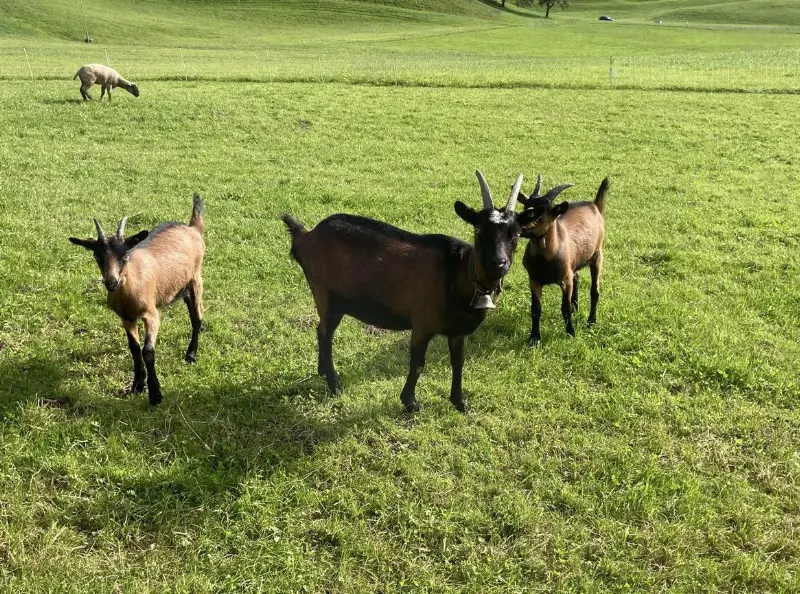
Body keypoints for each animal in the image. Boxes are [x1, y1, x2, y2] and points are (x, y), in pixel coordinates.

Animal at [68, 195, 205, 405]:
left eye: (125, 255)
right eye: (97, 256)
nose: (111, 282)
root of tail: (192, 228)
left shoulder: (152, 315)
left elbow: (147, 351)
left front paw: (155, 394)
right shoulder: (126, 318)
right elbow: (134, 348)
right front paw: (138, 385)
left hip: (196, 280)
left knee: (196, 317)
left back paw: (190, 354)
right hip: (182, 286)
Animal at [281, 171, 525, 413]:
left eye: (516, 234)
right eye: (478, 229)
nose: (498, 263)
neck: (458, 272)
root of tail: (305, 236)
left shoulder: (457, 332)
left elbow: (458, 363)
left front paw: (460, 402)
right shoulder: (422, 324)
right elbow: (417, 364)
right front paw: (410, 402)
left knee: (320, 330)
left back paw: (323, 371)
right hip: (325, 295)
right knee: (326, 333)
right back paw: (334, 384)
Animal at [517, 176, 609, 346]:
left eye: (545, 211)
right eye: (526, 205)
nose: (520, 224)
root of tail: (594, 205)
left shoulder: (565, 280)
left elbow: (564, 308)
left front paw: (570, 333)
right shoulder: (534, 279)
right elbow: (535, 310)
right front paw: (534, 338)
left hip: (597, 255)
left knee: (594, 290)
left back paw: (591, 321)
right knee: (577, 277)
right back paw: (576, 307)